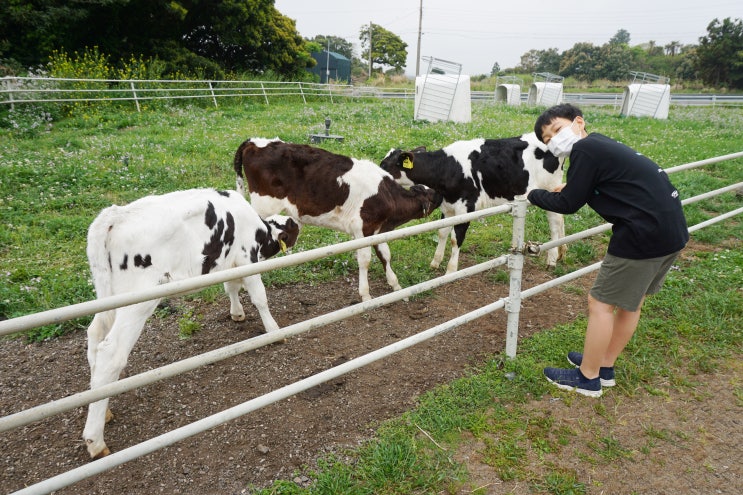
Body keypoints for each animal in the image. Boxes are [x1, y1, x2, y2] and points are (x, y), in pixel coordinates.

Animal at [83, 188, 298, 460]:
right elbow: (259, 296)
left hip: (107, 296)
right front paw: (274, 331)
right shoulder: (246, 257)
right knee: (111, 353)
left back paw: (103, 409)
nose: (298, 223)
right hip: (137, 300)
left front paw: (237, 313)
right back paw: (95, 440)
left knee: (95, 335)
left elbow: (231, 287)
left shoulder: (228, 263)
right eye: (290, 226)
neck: (257, 225)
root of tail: (115, 215)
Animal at [380, 134, 568, 274]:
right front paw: (435, 262)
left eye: (385, 165)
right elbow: (442, 232)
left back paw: (552, 259)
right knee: (560, 218)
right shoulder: (448, 207)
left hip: (549, 188)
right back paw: (562, 252)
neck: (448, 167)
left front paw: (451, 270)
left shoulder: (466, 207)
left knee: (554, 222)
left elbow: (456, 239)